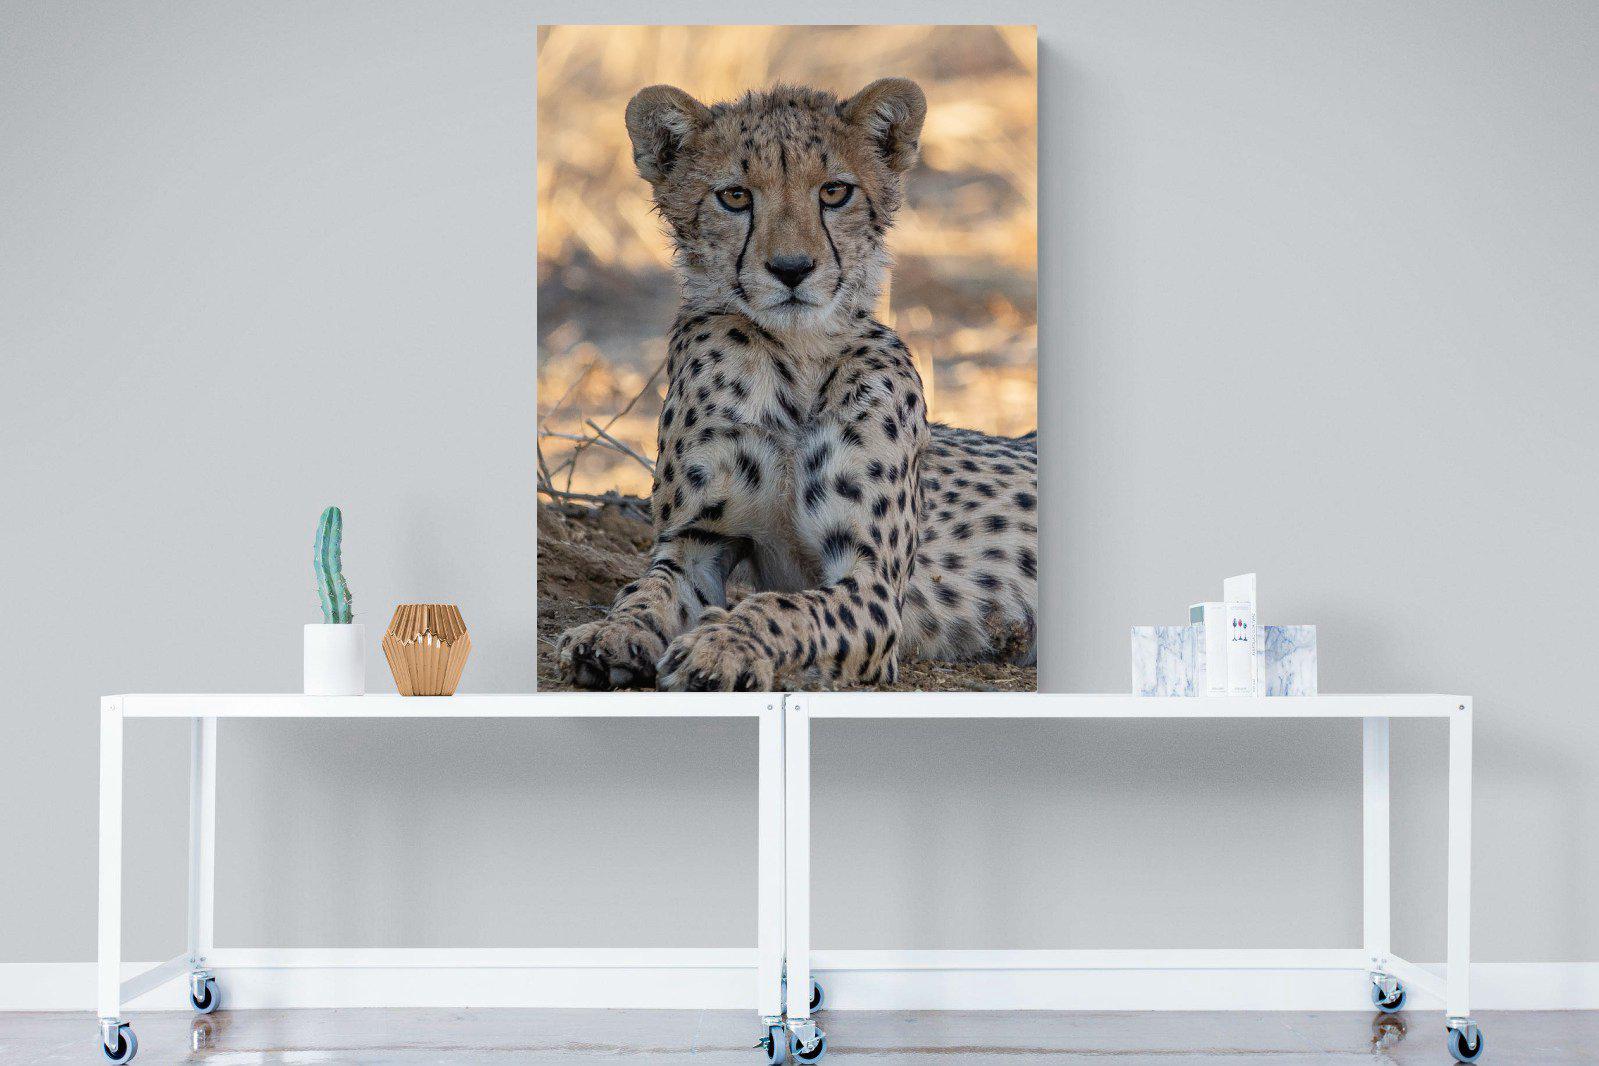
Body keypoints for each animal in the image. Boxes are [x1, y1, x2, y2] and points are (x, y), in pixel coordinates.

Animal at [555, 77, 1037, 692]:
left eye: (834, 191)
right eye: (735, 197)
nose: (791, 269)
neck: (796, 360)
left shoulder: (873, 583)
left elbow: (784, 607)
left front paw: (722, 645)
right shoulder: (695, 544)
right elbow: (647, 590)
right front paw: (611, 633)